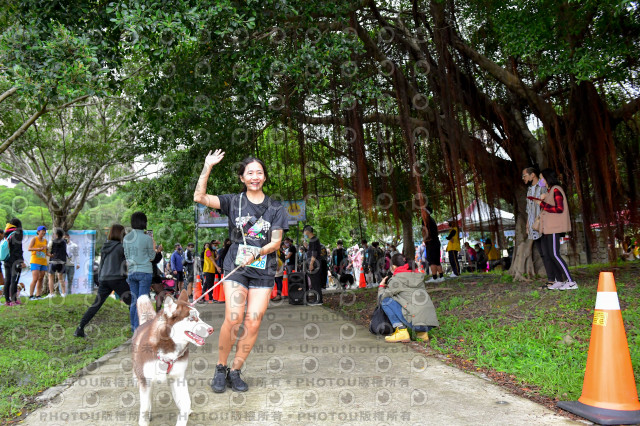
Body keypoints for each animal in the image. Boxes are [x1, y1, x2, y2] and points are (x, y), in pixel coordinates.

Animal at [131, 290, 214, 426]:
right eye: (192, 318)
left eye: (199, 316)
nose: (211, 329)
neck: (167, 349)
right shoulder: (145, 380)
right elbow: (145, 406)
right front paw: (143, 420)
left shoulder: (178, 377)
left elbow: (185, 403)